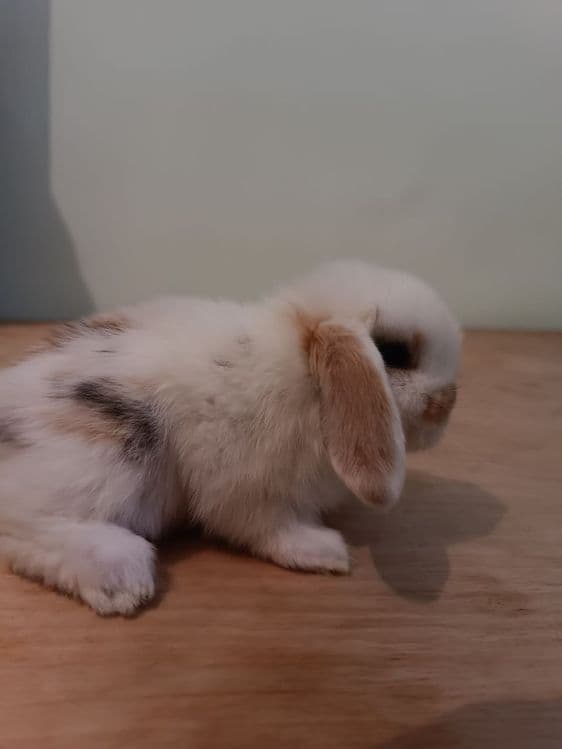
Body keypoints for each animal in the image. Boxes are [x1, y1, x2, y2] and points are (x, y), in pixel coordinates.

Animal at [0, 260, 461, 615]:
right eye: (394, 354)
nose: (448, 403)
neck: (307, 374)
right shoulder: (249, 487)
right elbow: (267, 528)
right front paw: (324, 550)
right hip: (112, 458)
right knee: (22, 526)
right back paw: (122, 576)